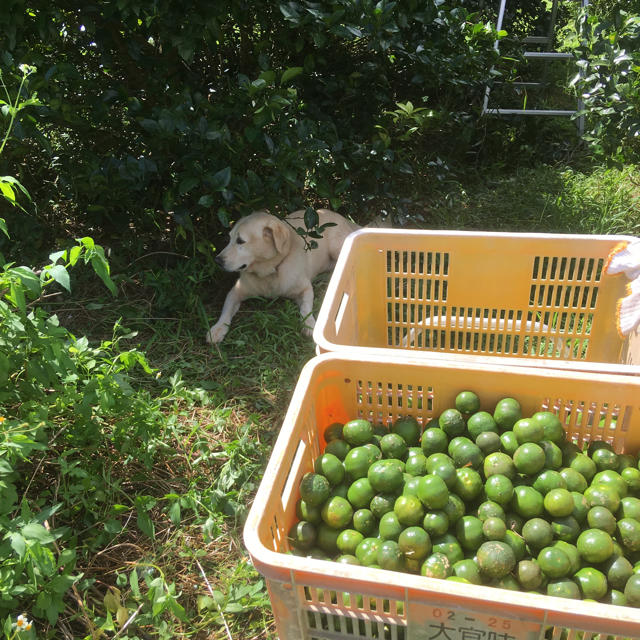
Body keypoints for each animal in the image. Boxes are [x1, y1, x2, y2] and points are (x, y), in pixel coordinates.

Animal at [206, 209, 360, 344]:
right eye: (230, 238)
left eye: (240, 241)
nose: (217, 260)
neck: (270, 271)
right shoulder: (236, 291)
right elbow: (226, 311)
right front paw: (217, 329)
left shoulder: (305, 289)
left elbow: (306, 307)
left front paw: (309, 324)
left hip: (337, 247)